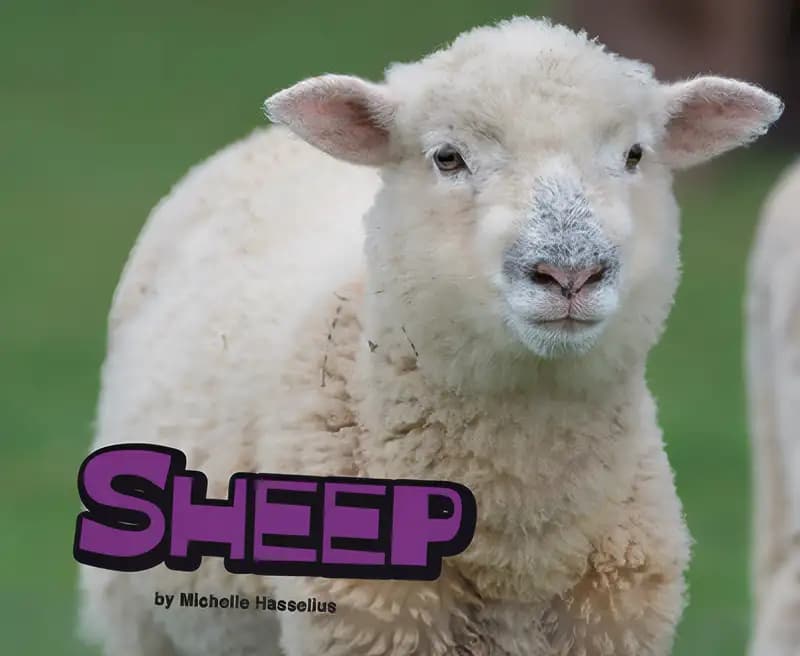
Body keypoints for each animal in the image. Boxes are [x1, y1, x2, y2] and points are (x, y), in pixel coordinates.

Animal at [77, 16, 783, 656]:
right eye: (448, 157)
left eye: (635, 155)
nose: (570, 273)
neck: (520, 537)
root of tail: (264, 139)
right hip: (138, 618)